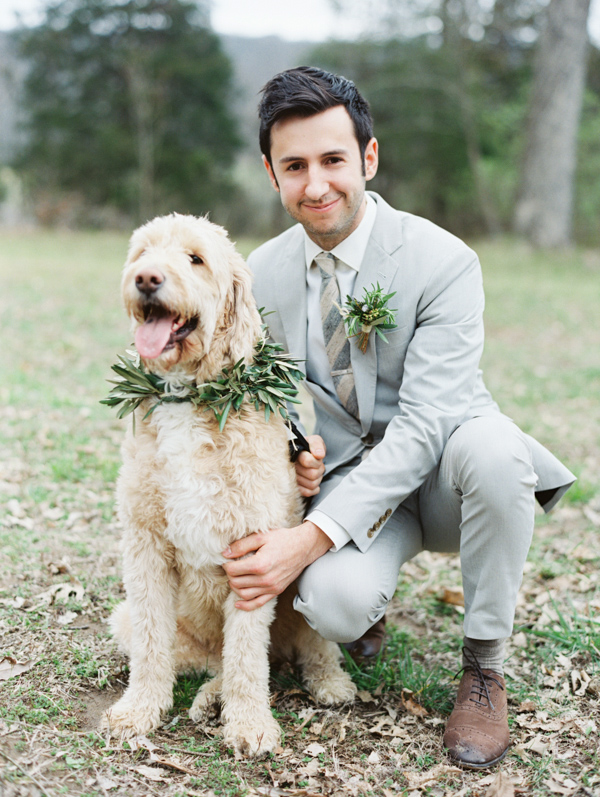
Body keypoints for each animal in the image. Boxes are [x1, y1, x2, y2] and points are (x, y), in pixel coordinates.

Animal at [102, 215, 356, 756]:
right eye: (142, 254)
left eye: (195, 259)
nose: (147, 279)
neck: (191, 396)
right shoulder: (145, 545)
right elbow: (152, 645)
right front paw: (139, 711)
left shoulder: (254, 555)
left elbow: (246, 653)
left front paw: (249, 725)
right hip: (130, 619)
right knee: (206, 661)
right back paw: (209, 694)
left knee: (295, 649)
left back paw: (327, 681)